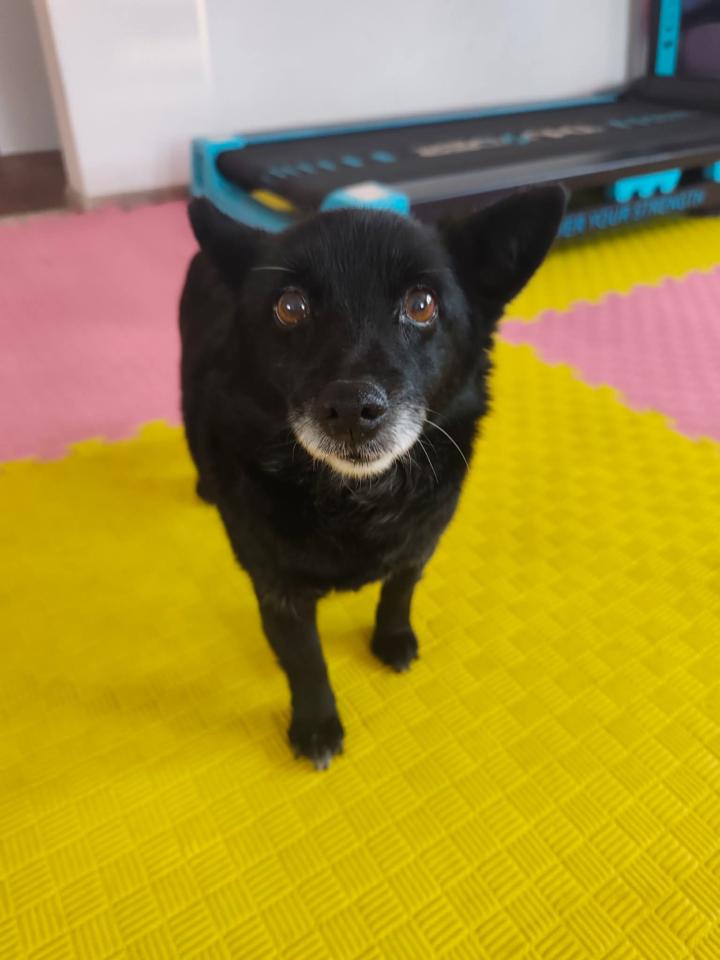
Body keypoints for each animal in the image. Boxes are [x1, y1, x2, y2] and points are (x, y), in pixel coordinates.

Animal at [179, 188, 565, 768]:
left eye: (422, 304)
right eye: (290, 307)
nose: (351, 406)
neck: (356, 499)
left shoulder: (419, 546)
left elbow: (398, 593)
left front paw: (392, 639)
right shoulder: (278, 591)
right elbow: (307, 663)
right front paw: (316, 727)